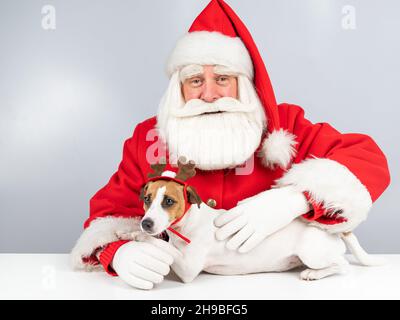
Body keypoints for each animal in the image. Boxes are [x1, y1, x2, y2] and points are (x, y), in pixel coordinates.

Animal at [130, 158, 382, 282]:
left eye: (169, 201)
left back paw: (314, 274)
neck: (188, 224)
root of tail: (333, 230)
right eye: (147, 199)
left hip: (313, 253)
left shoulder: (188, 269)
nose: (146, 223)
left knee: (342, 265)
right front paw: (134, 233)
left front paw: (143, 238)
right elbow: (165, 245)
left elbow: (166, 248)